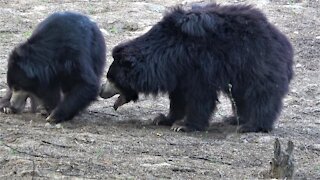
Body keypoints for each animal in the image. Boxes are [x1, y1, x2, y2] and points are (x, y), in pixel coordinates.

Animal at [104, 3, 294, 133]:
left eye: (111, 78)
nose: (101, 91)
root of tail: (282, 40)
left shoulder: (200, 66)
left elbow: (200, 96)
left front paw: (184, 126)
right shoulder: (179, 72)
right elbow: (178, 97)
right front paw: (163, 119)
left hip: (255, 62)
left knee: (261, 94)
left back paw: (251, 125)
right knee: (241, 96)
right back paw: (235, 119)